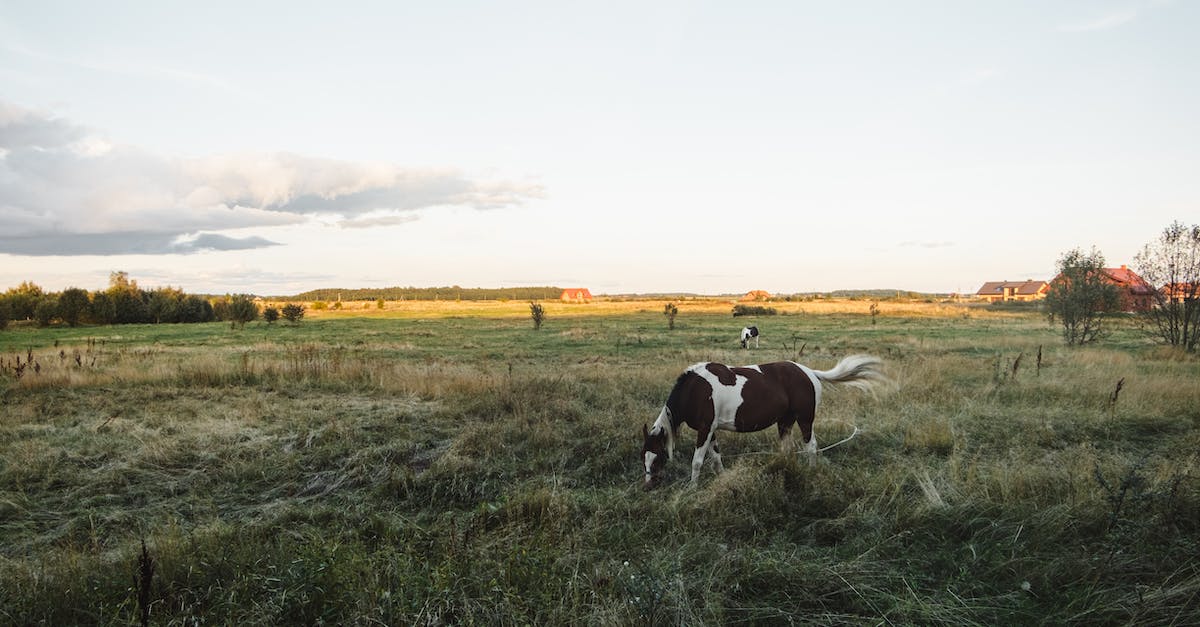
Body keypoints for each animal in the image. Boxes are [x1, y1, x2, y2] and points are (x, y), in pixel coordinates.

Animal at [640, 355, 889, 489]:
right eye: (644, 456)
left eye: (658, 457)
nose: (648, 486)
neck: (696, 390)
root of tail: (809, 372)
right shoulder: (711, 430)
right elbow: (716, 457)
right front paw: (723, 478)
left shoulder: (704, 429)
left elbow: (698, 462)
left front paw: (692, 488)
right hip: (785, 422)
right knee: (787, 448)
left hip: (805, 420)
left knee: (811, 446)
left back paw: (810, 471)